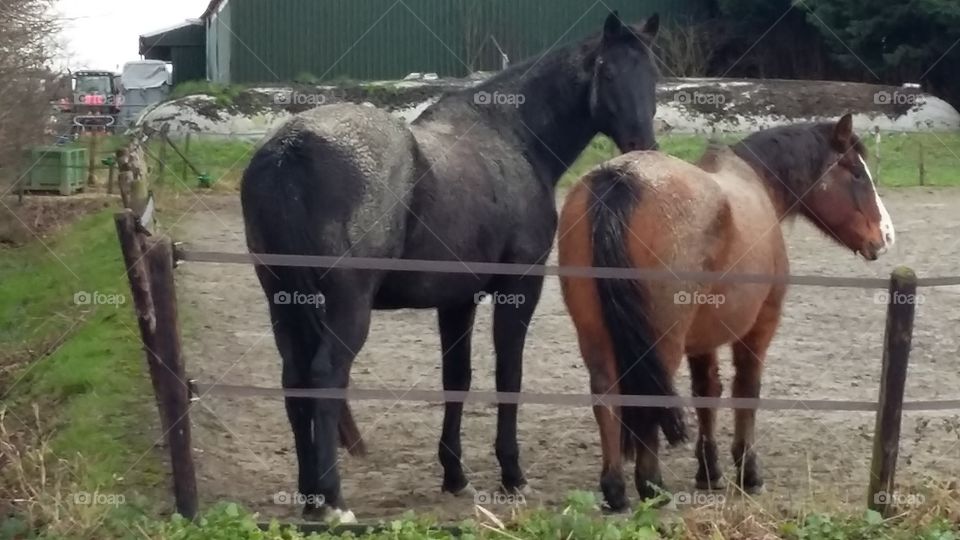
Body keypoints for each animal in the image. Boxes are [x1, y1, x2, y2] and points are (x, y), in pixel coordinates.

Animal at [240, 11, 663, 522]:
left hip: (283, 300)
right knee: (324, 378)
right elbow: (509, 376)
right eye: (607, 72)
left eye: (653, 74)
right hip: (346, 307)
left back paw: (309, 497)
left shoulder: (457, 299)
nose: (642, 147)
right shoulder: (520, 287)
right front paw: (512, 475)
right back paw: (333, 504)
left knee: (295, 381)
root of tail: (291, 147)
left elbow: (457, 379)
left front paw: (455, 475)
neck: (510, 138)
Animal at [557, 114, 895, 511]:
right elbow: (746, 390)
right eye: (856, 172)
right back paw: (652, 486)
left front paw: (709, 470)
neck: (754, 182)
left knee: (606, 396)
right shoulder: (758, 329)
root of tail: (621, 178)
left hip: (595, 337)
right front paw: (748, 471)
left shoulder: (702, 342)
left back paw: (615, 489)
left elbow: (707, 393)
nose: (886, 236)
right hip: (662, 343)